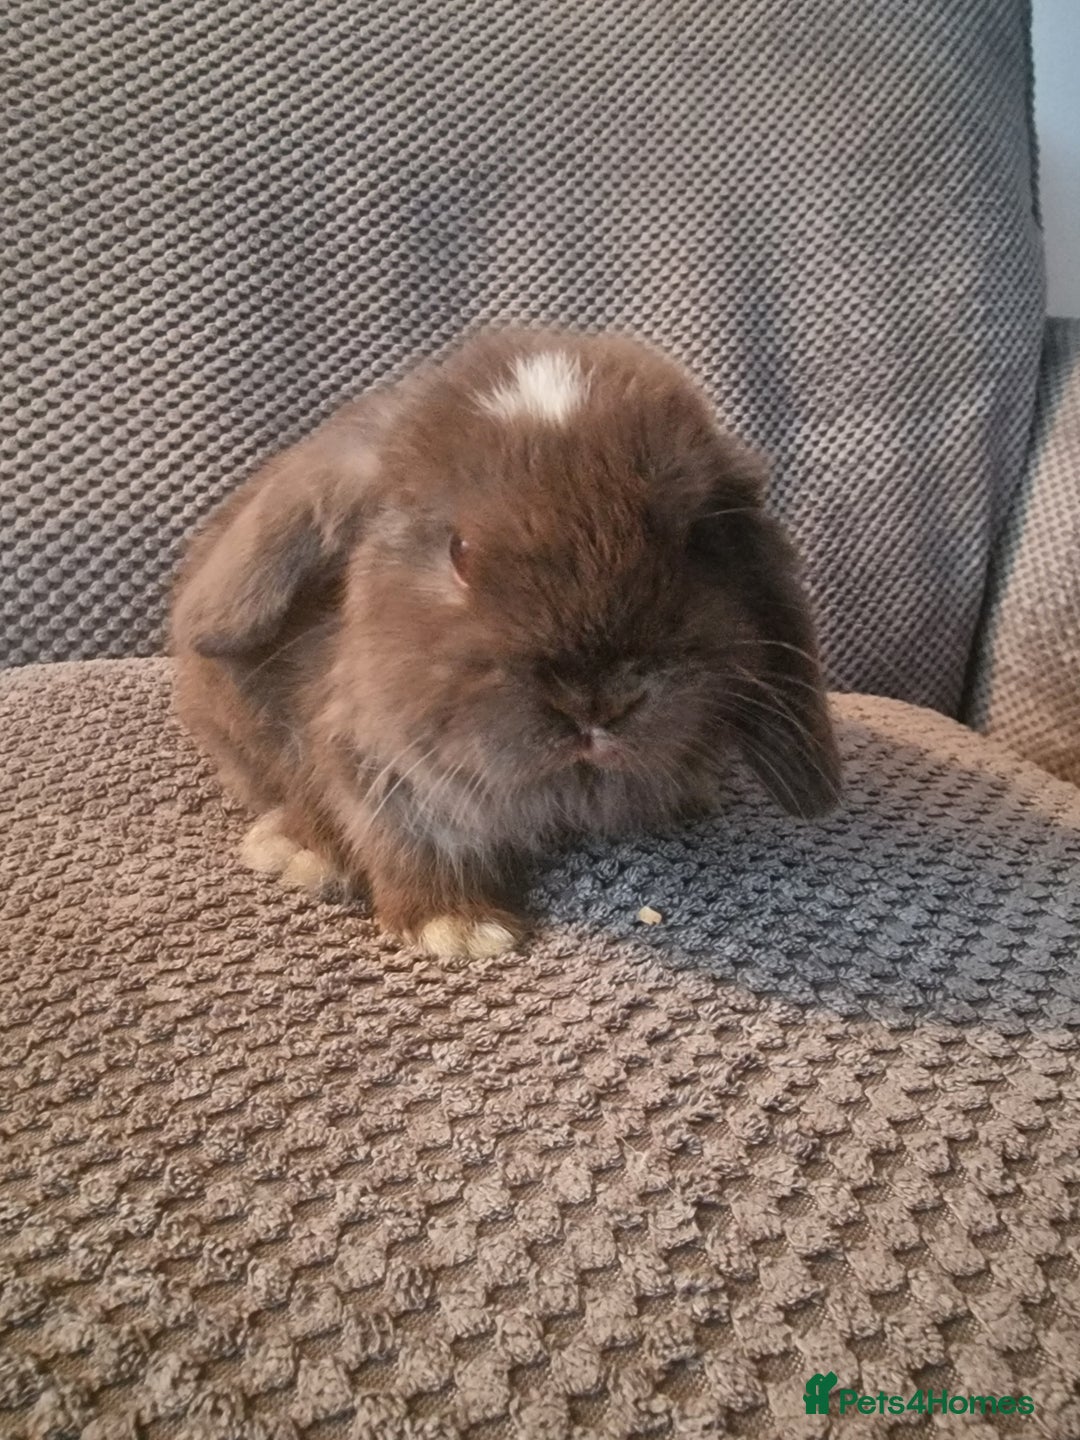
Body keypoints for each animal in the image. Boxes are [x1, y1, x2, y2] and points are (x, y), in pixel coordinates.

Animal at [171, 328, 840, 957]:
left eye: (694, 542)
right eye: (460, 550)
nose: (595, 699)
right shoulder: (383, 765)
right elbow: (409, 842)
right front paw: (456, 928)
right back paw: (301, 851)